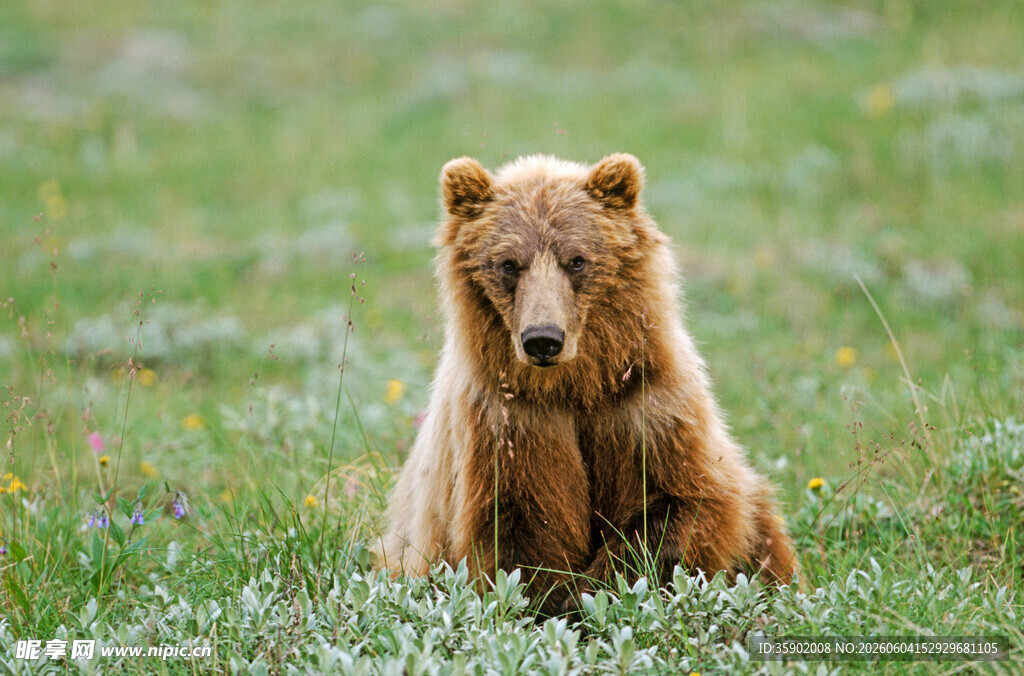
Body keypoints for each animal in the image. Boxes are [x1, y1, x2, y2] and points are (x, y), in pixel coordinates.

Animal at [375, 153, 798, 615]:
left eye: (576, 259)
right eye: (509, 263)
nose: (543, 339)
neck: (575, 385)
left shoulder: (643, 407)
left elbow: (679, 504)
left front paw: (592, 591)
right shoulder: (509, 423)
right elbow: (522, 528)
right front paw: (552, 599)